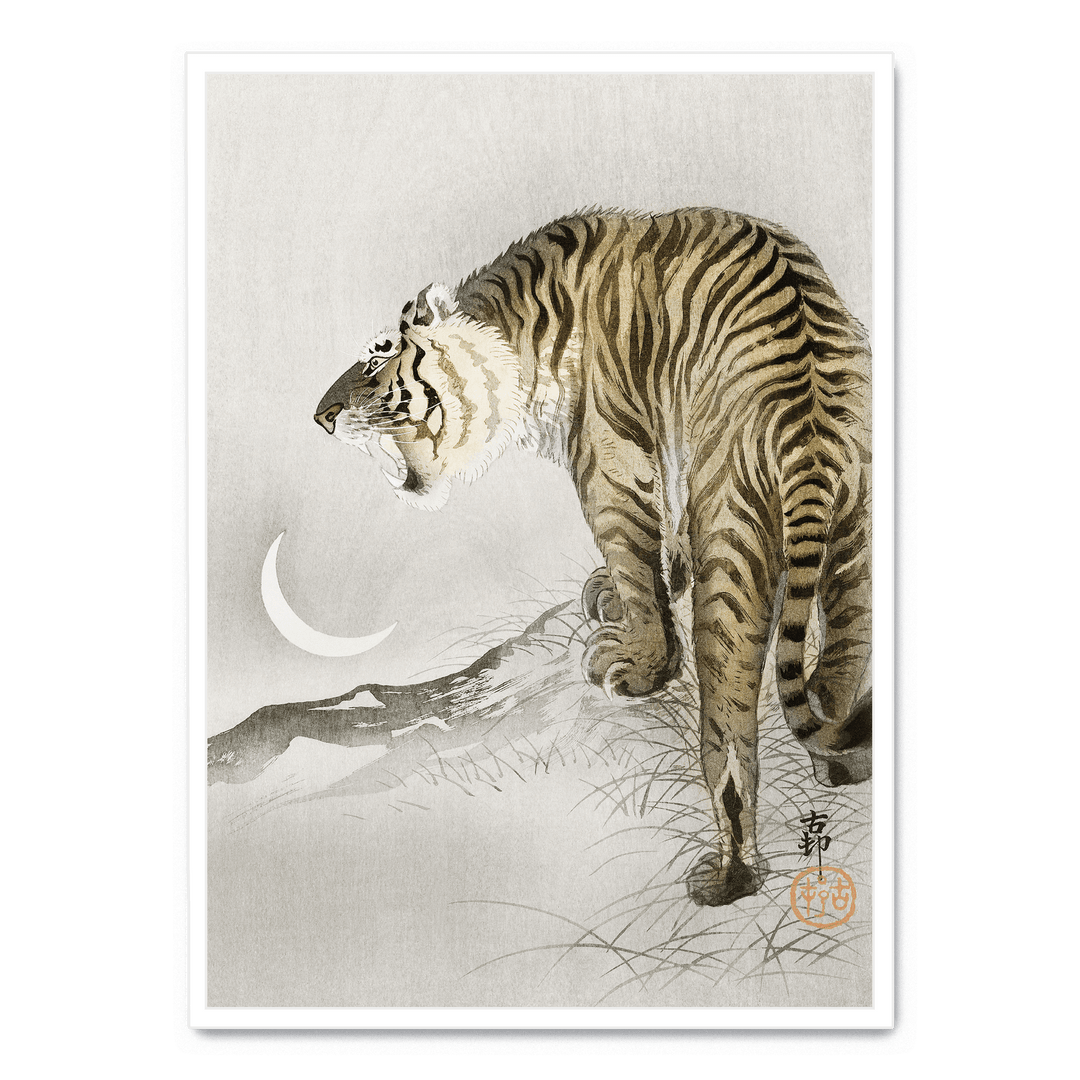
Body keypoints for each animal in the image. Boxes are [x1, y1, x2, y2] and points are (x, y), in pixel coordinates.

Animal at [315, 208, 872, 907]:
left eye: (377, 358)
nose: (321, 416)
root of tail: (810, 426)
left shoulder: (608, 458)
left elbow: (634, 555)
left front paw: (639, 661)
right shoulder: (669, 442)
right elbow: (664, 534)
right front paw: (630, 587)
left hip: (734, 542)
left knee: (730, 730)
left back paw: (729, 876)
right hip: (856, 540)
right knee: (841, 662)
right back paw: (844, 762)